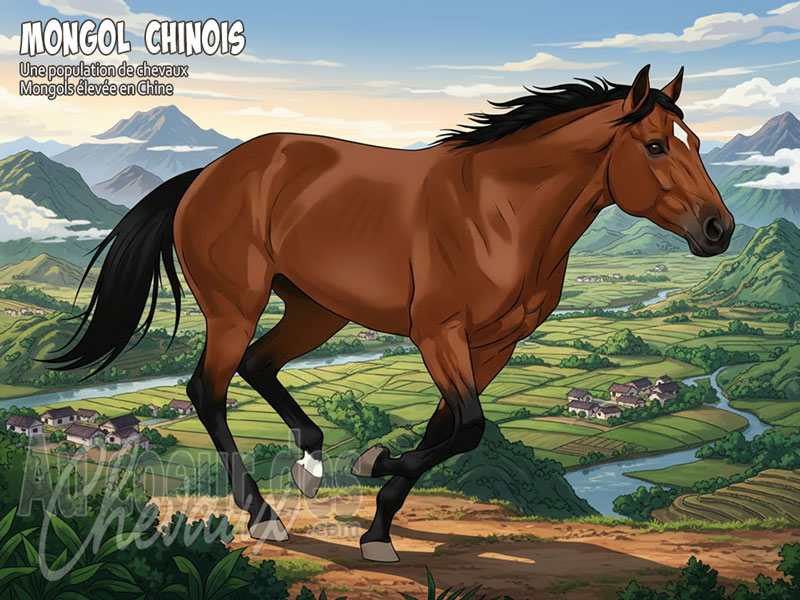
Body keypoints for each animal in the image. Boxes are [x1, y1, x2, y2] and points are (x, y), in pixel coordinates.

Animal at [47, 65, 734, 562]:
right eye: (654, 146)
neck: (501, 211)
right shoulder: (438, 334)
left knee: (258, 365)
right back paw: (265, 516)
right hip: (235, 306)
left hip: (318, 309)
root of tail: (205, 175)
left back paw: (310, 464)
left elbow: (445, 429)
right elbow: (468, 427)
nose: (719, 229)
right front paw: (370, 462)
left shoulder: (495, 346)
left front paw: (376, 527)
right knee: (208, 388)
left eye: (697, 143)